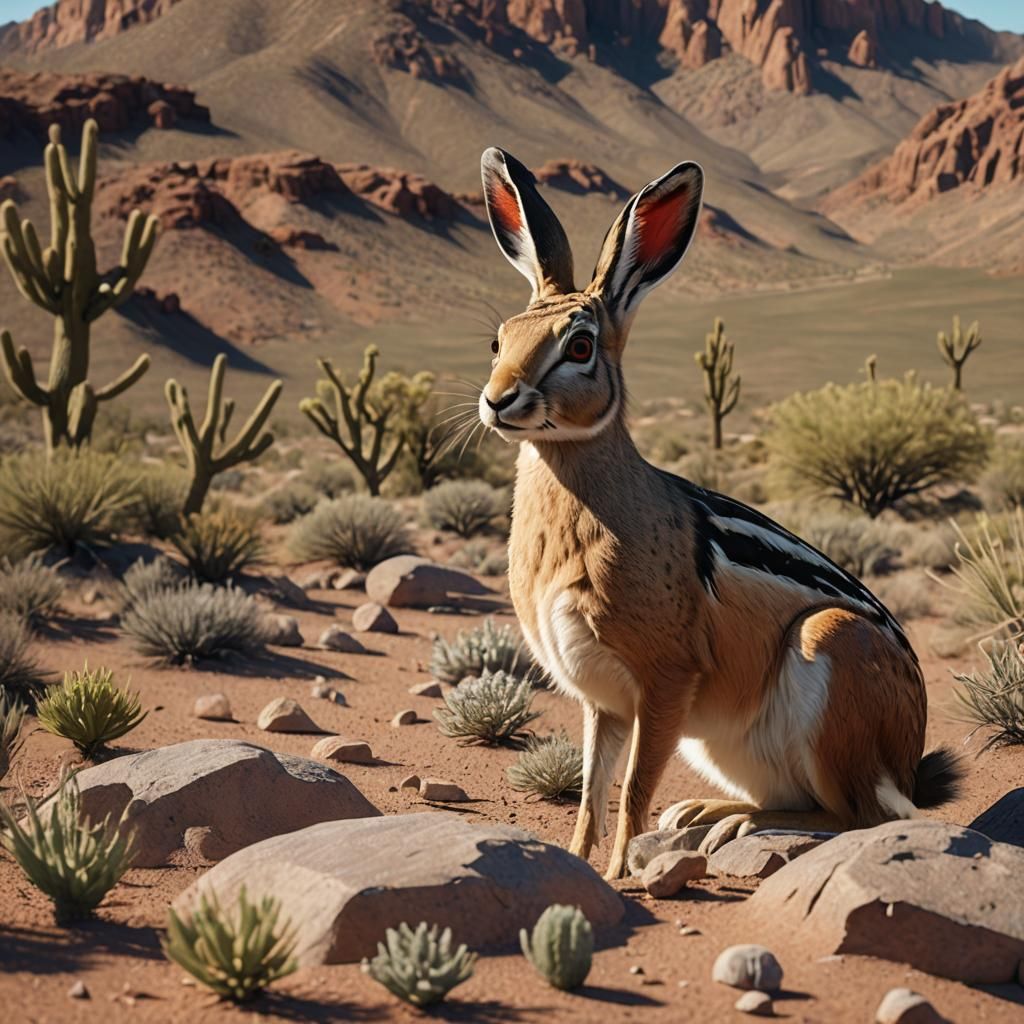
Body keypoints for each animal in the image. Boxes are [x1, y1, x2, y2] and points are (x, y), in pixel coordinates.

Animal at [476, 147, 962, 880]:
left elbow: (632, 787)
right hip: (722, 745)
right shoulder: (603, 701)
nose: (499, 400)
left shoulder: (664, 682)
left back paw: (728, 826)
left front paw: (618, 876)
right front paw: (578, 864)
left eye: (581, 347)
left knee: (855, 815)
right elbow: (591, 791)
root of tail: (909, 759)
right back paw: (709, 814)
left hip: (827, 647)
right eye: (500, 339)